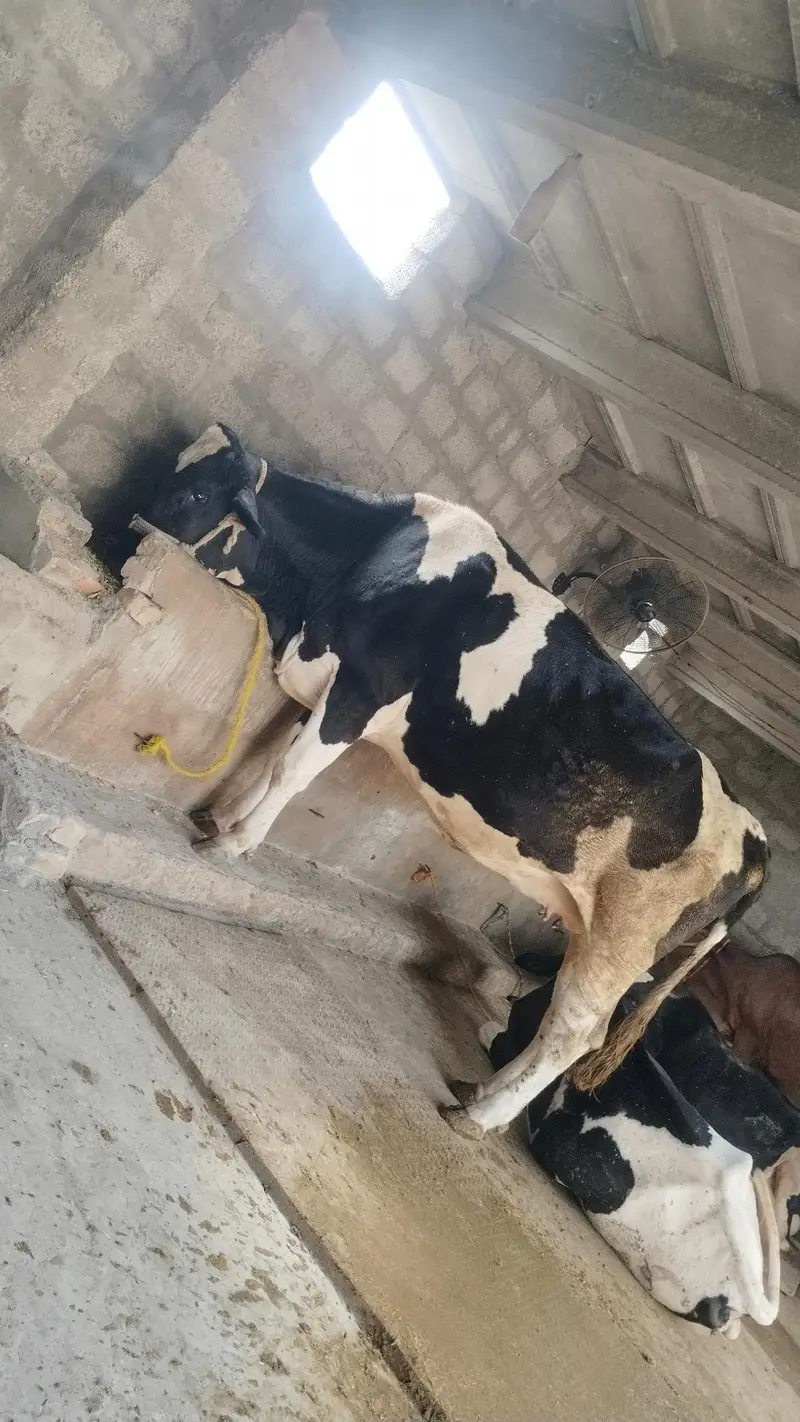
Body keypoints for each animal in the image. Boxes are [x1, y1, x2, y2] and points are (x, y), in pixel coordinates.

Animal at [148, 423, 769, 1138]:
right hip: (594, 935)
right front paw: (224, 819)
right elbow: (276, 750)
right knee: (563, 1021)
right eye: (174, 464)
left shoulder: (361, 691)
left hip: (621, 942)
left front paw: (229, 842)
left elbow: (289, 770)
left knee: (577, 1032)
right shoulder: (328, 683)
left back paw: (479, 1115)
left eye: (198, 492)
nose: (123, 520)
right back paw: (481, 1091)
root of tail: (756, 837)